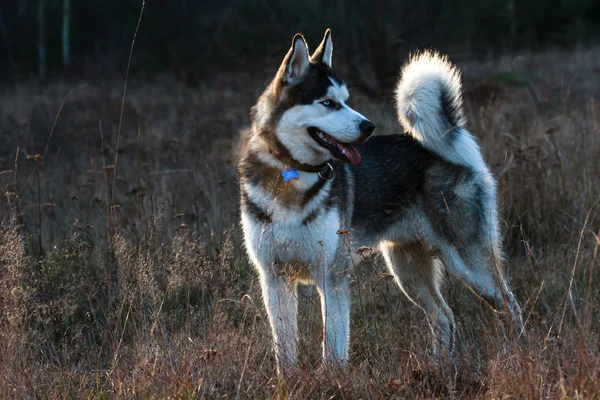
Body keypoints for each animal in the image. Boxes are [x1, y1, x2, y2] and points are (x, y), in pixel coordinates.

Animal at [237, 30, 524, 376]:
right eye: (328, 103)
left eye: (346, 100)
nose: (368, 126)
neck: (292, 174)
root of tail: (446, 143)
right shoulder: (274, 279)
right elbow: (284, 348)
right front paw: (288, 382)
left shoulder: (331, 278)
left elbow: (332, 346)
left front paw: (332, 380)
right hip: (408, 271)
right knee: (443, 315)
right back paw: (440, 367)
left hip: (471, 265)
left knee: (510, 307)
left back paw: (520, 357)